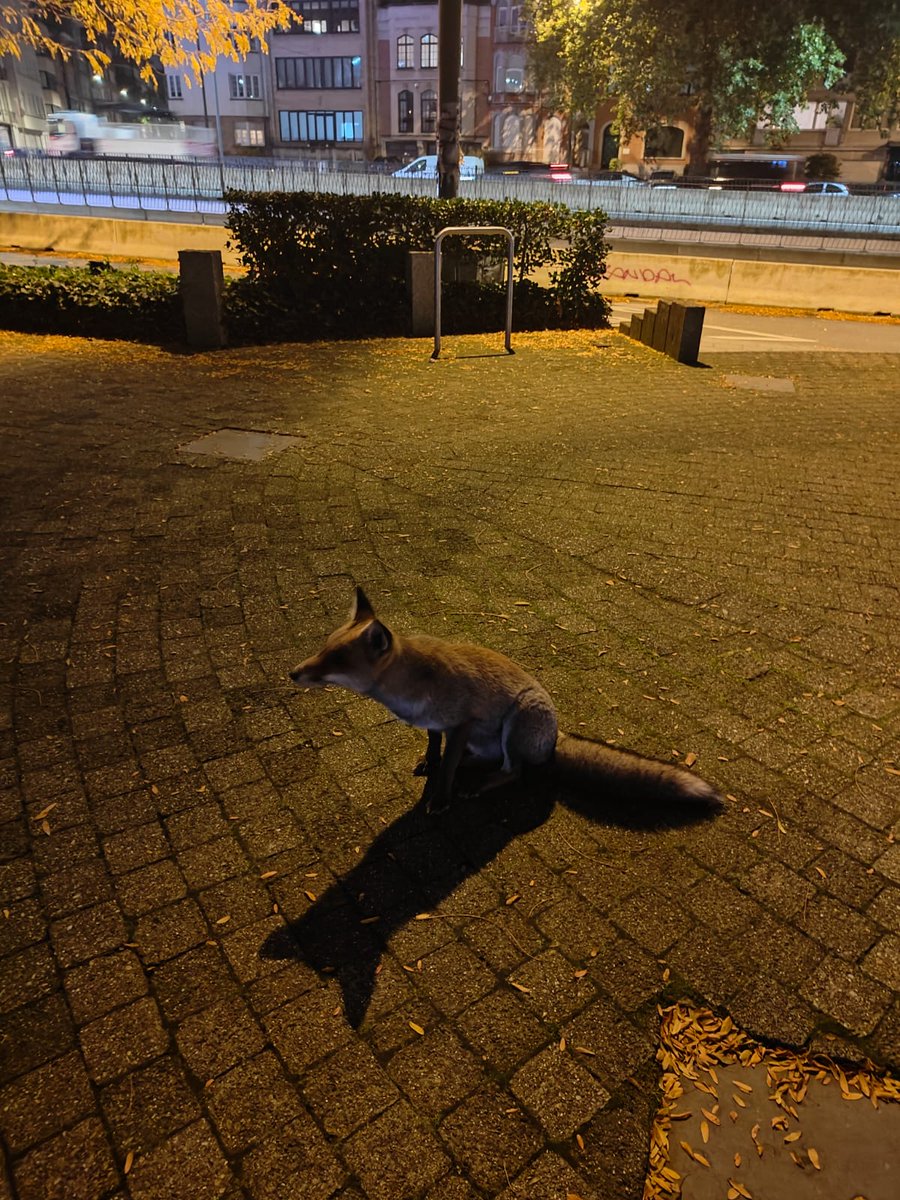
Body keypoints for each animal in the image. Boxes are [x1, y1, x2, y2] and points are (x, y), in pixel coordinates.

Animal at [289, 587, 724, 816]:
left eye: (336, 660)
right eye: (324, 648)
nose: (293, 673)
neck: (410, 685)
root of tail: (555, 740)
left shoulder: (462, 722)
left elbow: (447, 769)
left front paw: (441, 798)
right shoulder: (438, 725)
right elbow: (436, 748)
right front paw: (431, 762)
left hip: (517, 721)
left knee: (513, 770)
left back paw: (480, 782)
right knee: (488, 760)